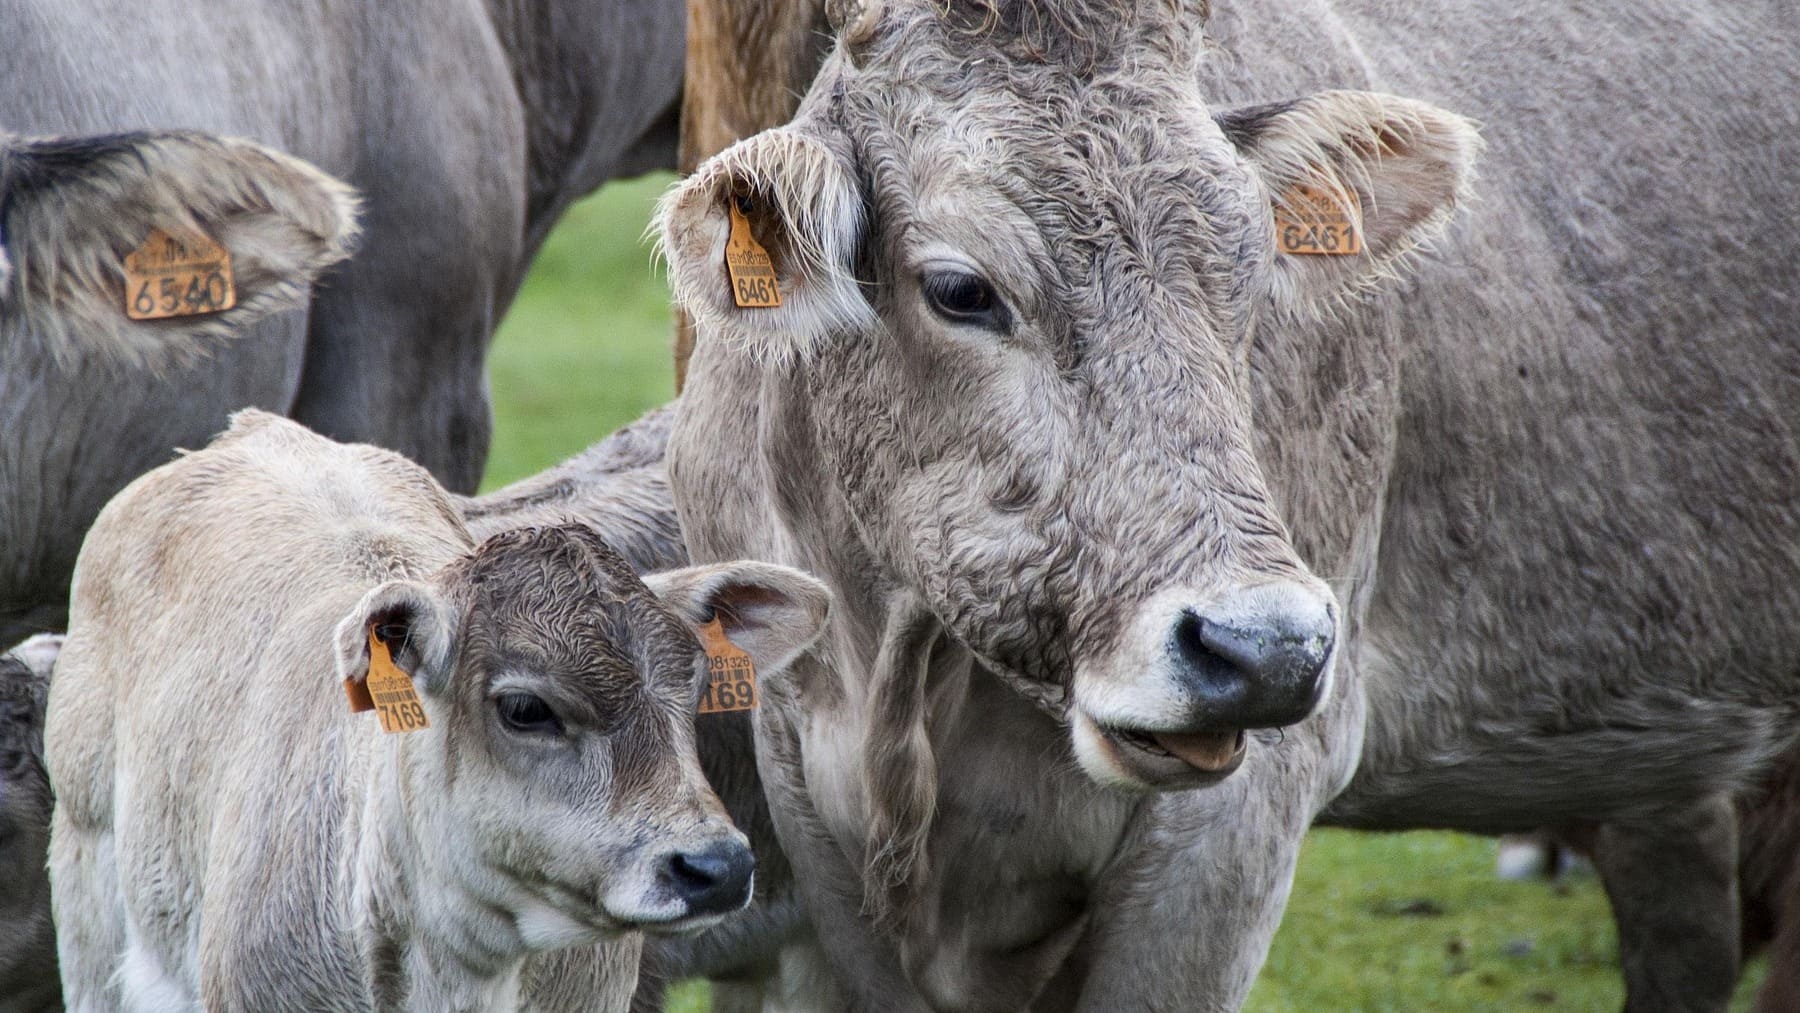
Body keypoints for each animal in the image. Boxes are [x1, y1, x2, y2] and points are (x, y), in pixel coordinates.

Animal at [657, 0, 1800, 1009]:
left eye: (1252, 276)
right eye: (961, 290)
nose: (1268, 649)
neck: (901, 677)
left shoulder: (1239, 824)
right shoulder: (804, 803)